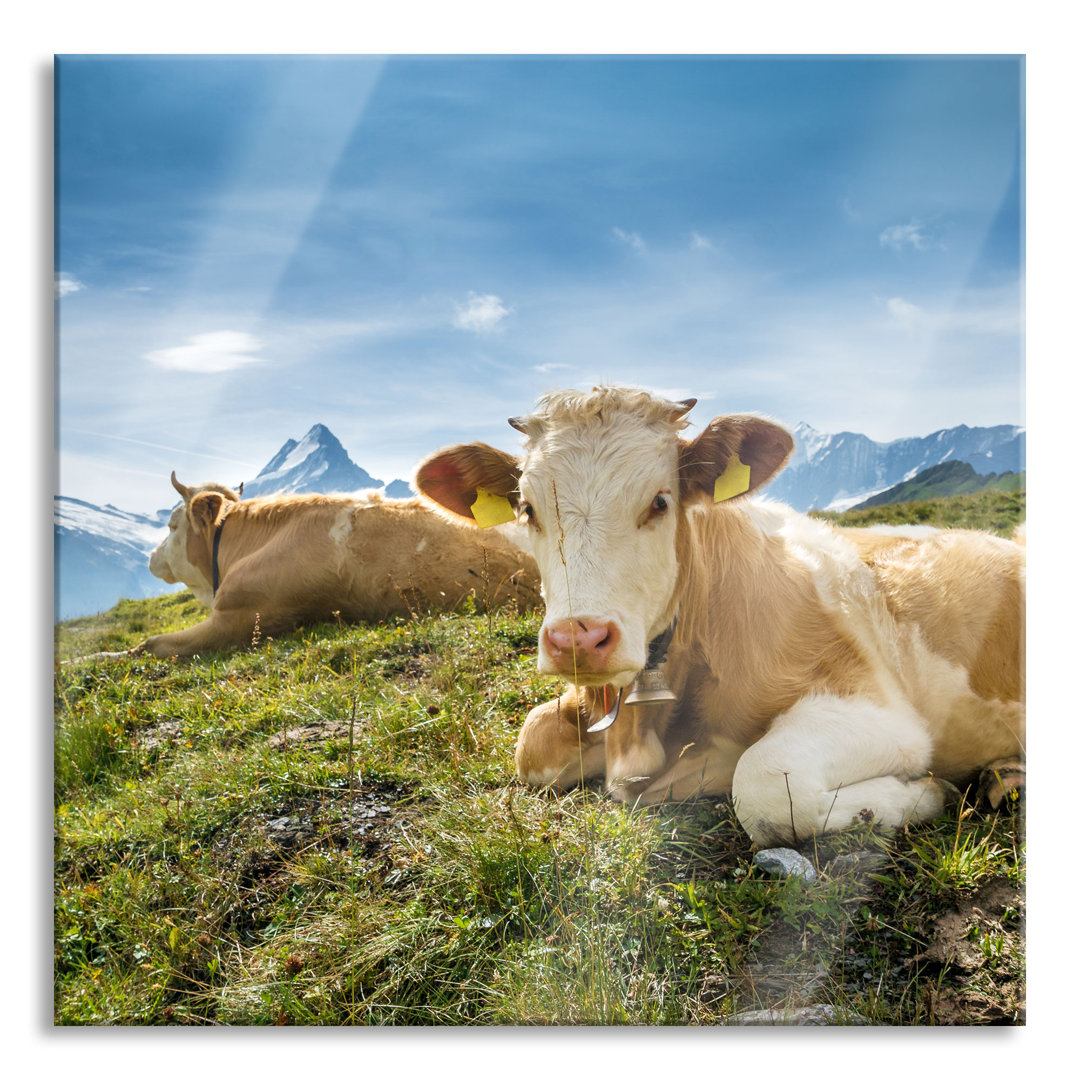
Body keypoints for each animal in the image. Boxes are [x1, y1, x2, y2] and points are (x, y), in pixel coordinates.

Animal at [414, 384, 1028, 846]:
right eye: (527, 508)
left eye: (660, 501)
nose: (578, 640)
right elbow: (532, 742)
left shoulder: (879, 708)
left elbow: (764, 784)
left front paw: (925, 792)